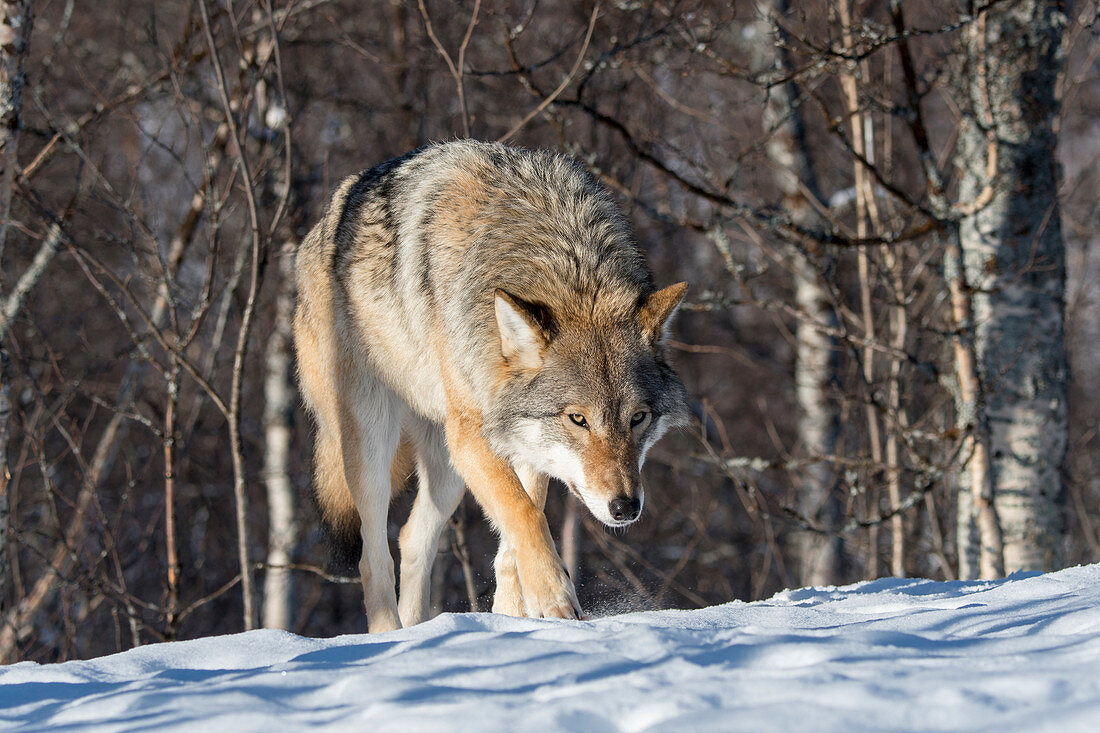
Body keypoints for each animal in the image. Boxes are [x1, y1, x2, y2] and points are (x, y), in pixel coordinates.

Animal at [292, 139, 686, 629]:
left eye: (638, 418)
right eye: (578, 419)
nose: (626, 507)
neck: (556, 252)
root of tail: (313, 236)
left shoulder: (522, 442)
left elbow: (517, 533)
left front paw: (512, 617)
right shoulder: (474, 436)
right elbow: (523, 514)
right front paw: (555, 600)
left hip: (447, 468)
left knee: (411, 538)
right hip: (375, 438)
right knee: (372, 554)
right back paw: (389, 635)